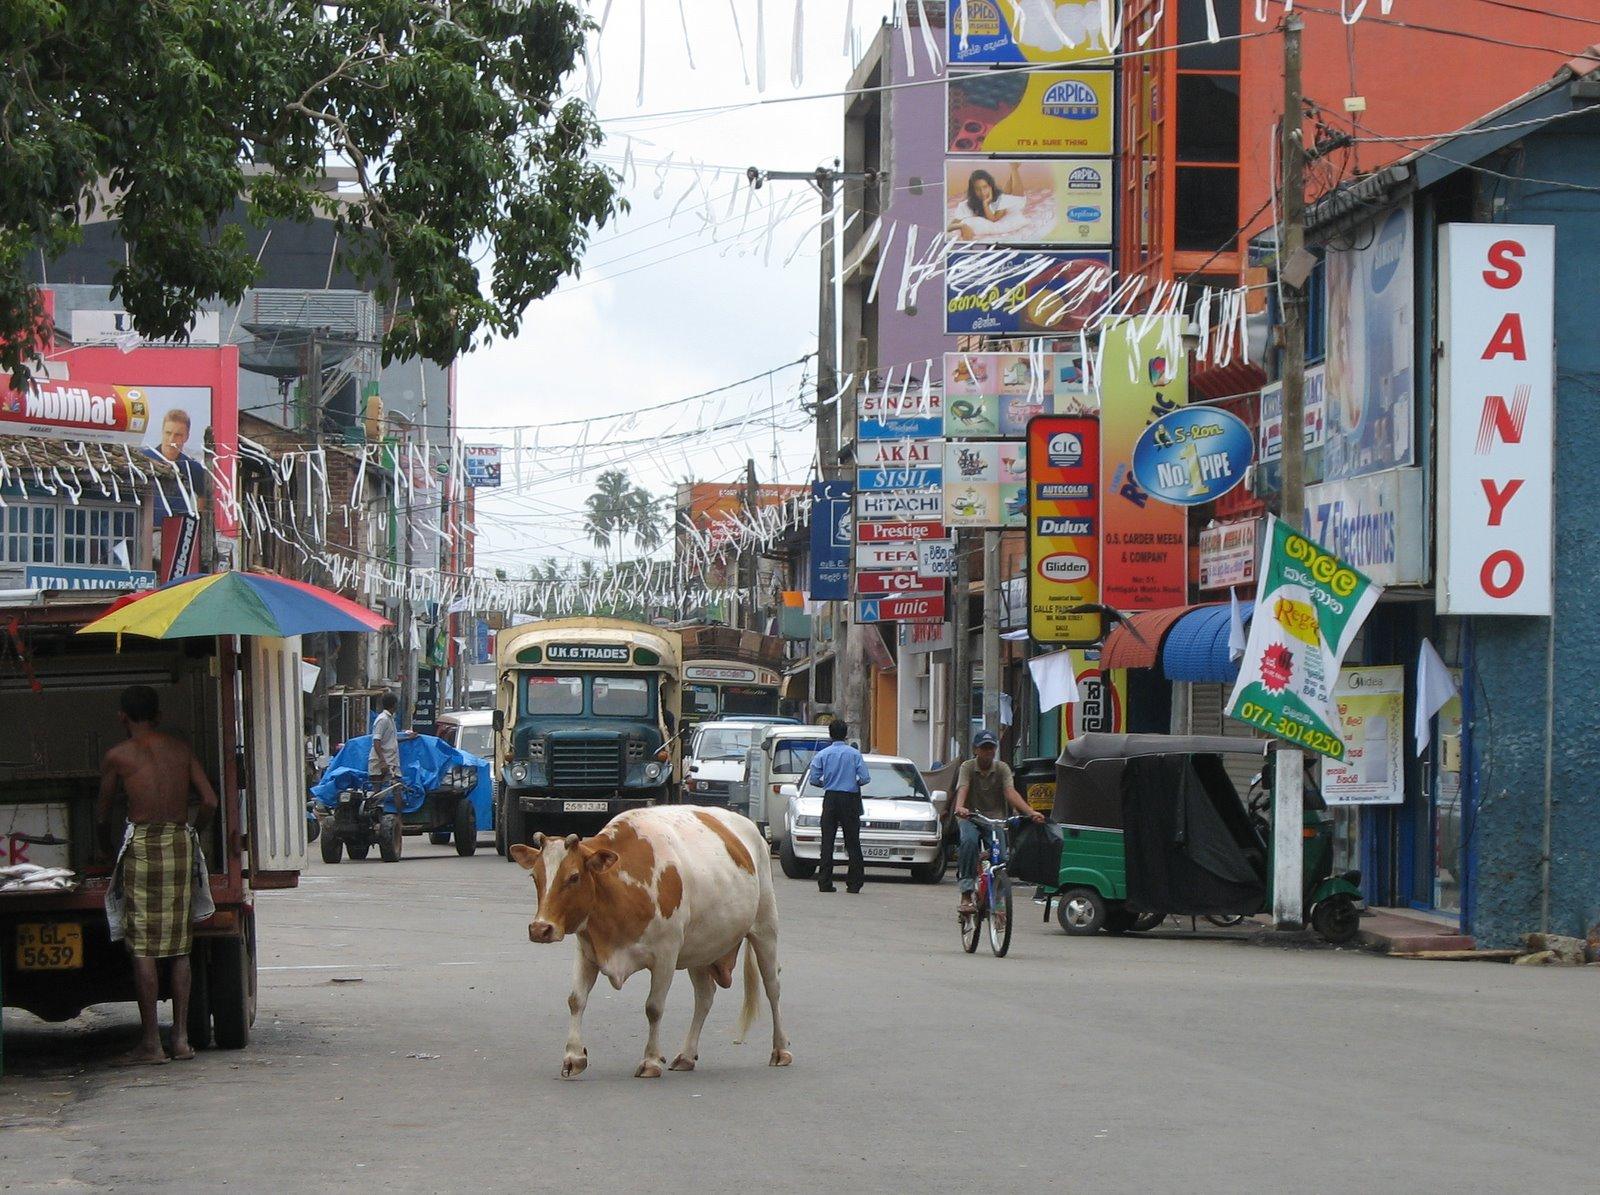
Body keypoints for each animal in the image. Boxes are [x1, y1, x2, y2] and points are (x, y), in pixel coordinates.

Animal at [508, 809, 790, 1081]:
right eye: (534, 876)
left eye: (574, 877)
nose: (540, 928)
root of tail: (749, 827)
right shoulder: (587, 951)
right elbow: (576, 1000)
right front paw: (573, 1057)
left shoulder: (666, 955)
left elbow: (654, 1007)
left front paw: (651, 1061)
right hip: (701, 948)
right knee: (704, 997)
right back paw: (687, 1055)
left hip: (765, 927)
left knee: (773, 987)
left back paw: (780, 1049)